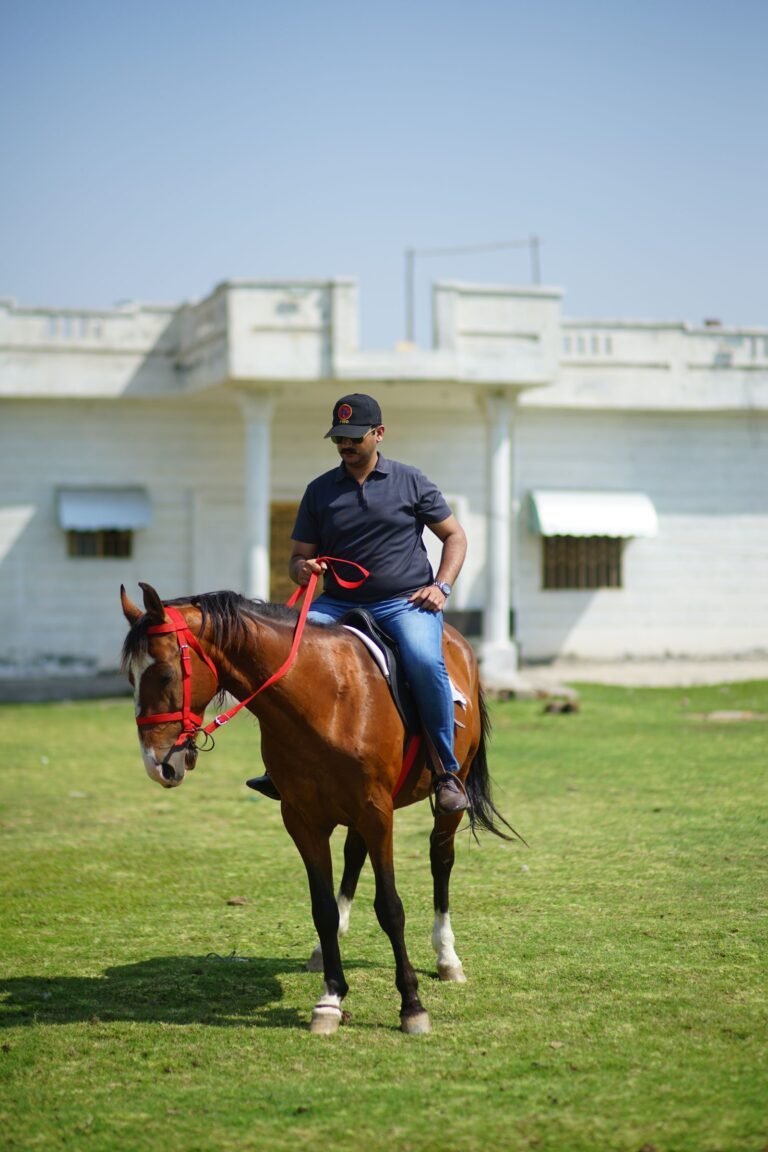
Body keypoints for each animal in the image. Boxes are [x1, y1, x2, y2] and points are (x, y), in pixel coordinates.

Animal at [120, 581, 514, 1035]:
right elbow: (322, 908)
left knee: (441, 859)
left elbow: (390, 908)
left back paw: (447, 957)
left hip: (446, 797)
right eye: (128, 677)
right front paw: (330, 999)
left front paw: (412, 1006)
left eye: (165, 674)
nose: (157, 765)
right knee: (354, 856)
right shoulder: (302, 818)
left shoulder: (377, 812)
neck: (325, 699)